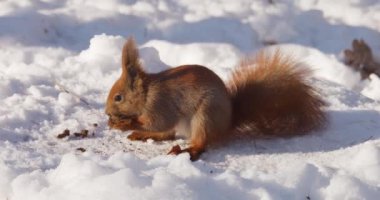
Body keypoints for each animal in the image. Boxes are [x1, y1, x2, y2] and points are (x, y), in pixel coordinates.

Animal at [104, 38, 326, 161]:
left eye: (118, 97)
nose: (107, 113)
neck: (147, 93)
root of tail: (227, 124)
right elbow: (161, 127)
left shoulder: (160, 103)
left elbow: (159, 122)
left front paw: (124, 123)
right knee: (168, 134)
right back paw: (144, 136)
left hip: (204, 117)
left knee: (199, 143)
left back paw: (188, 151)